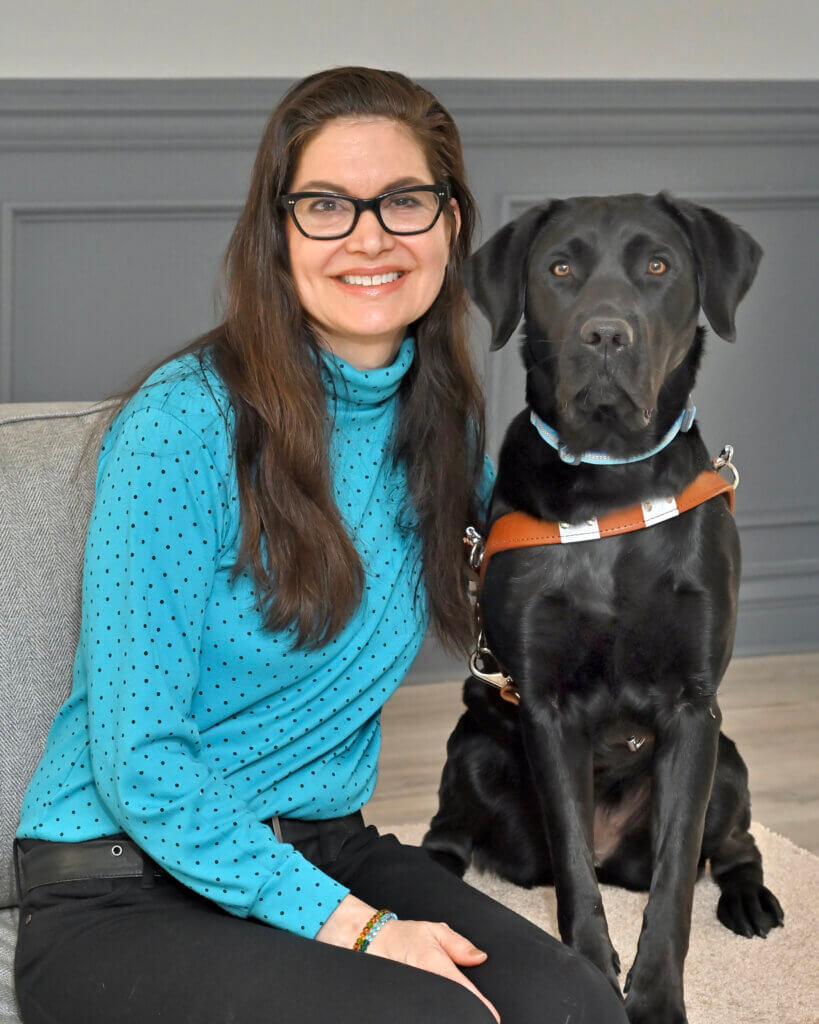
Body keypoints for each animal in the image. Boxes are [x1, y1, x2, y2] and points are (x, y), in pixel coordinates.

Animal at [425, 193, 782, 1024]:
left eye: (658, 264)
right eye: (559, 268)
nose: (605, 335)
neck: (613, 485)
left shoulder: (692, 708)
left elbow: (675, 881)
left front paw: (651, 999)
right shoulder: (546, 706)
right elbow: (572, 876)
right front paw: (591, 974)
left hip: (728, 763)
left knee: (733, 846)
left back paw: (748, 899)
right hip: (474, 747)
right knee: (450, 833)